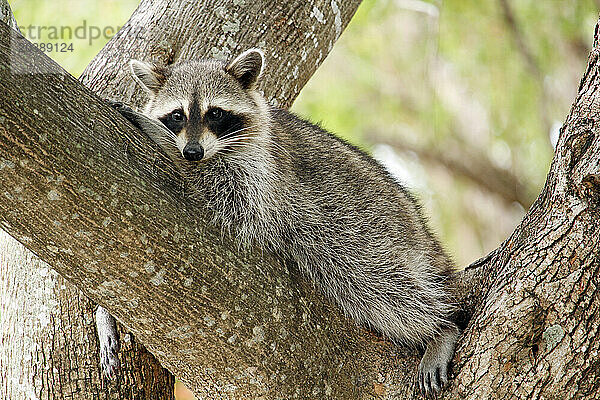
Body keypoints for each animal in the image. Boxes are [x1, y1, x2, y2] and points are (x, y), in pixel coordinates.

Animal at [101, 49, 462, 394]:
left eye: (214, 113)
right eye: (177, 115)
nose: (191, 152)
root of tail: (421, 228)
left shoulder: (265, 171)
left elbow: (235, 196)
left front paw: (160, 138)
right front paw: (105, 314)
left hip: (365, 229)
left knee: (380, 286)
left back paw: (439, 328)